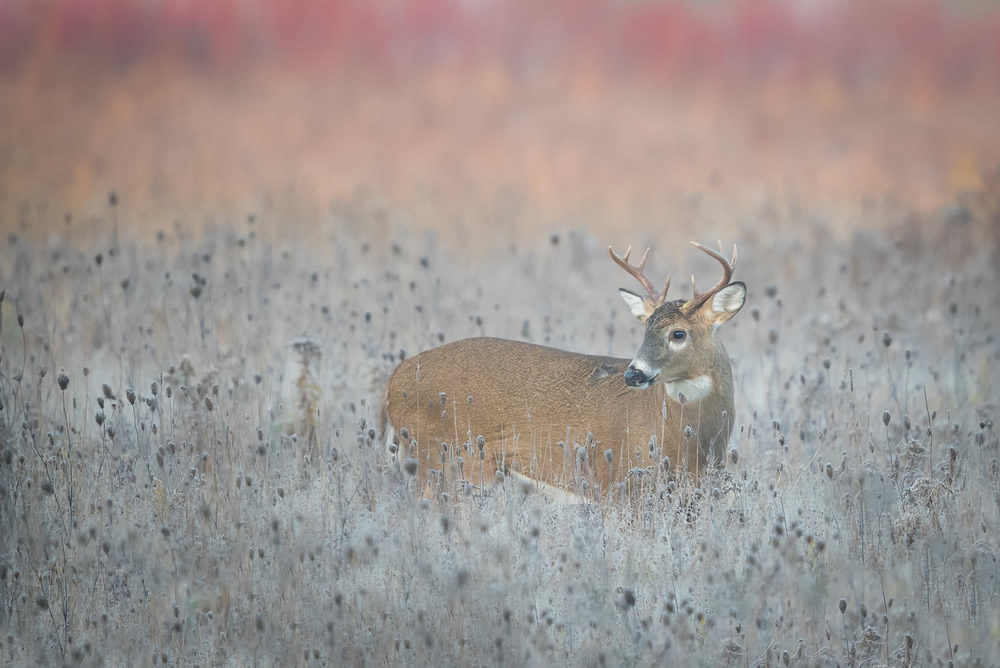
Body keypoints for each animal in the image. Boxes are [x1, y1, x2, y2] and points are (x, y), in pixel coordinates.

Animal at [378, 241, 748, 500]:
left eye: (678, 333)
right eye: (645, 330)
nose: (632, 374)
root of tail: (393, 382)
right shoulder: (618, 483)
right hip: (441, 458)